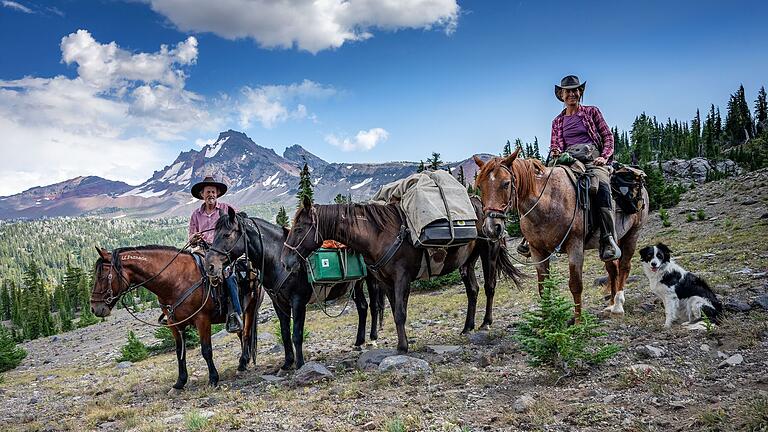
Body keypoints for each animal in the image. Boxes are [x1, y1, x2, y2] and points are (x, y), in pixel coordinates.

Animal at [89, 246, 262, 392]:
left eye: (102, 276)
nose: (95, 308)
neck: (176, 281)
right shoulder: (174, 324)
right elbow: (180, 352)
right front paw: (180, 382)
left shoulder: (202, 320)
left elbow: (206, 350)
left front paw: (213, 379)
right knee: (241, 334)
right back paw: (244, 361)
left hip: (250, 308)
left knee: (246, 334)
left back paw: (242, 364)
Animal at [206, 208, 382, 370]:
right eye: (214, 234)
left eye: (227, 235)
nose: (210, 266)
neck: (278, 259)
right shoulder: (279, 303)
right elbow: (285, 333)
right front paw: (287, 362)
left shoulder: (298, 301)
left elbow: (296, 334)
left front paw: (300, 363)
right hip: (356, 285)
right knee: (362, 307)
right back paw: (359, 341)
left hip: (371, 279)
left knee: (373, 305)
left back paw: (373, 337)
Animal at [284, 196, 528, 354]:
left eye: (299, 228)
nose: (286, 262)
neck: (379, 235)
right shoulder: (385, 281)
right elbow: (394, 312)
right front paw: (402, 342)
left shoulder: (402, 278)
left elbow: (400, 313)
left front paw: (403, 347)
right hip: (466, 262)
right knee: (473, 290)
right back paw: (467, 326)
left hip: (489, 253)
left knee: (489, 286)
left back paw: (486, 323)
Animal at [474, 149, 648, 318]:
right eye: (480, 186)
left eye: (506, 183)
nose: (491, 228)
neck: (548, 204)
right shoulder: (537, 251)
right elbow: (543, 287)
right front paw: (547, 321)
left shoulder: (575, 247)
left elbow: (576, 285)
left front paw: (578, 322)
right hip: (611, 243)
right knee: (613, 268)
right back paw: (611, 304)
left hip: (633, 234)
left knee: (624, 266)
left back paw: (618, 305)